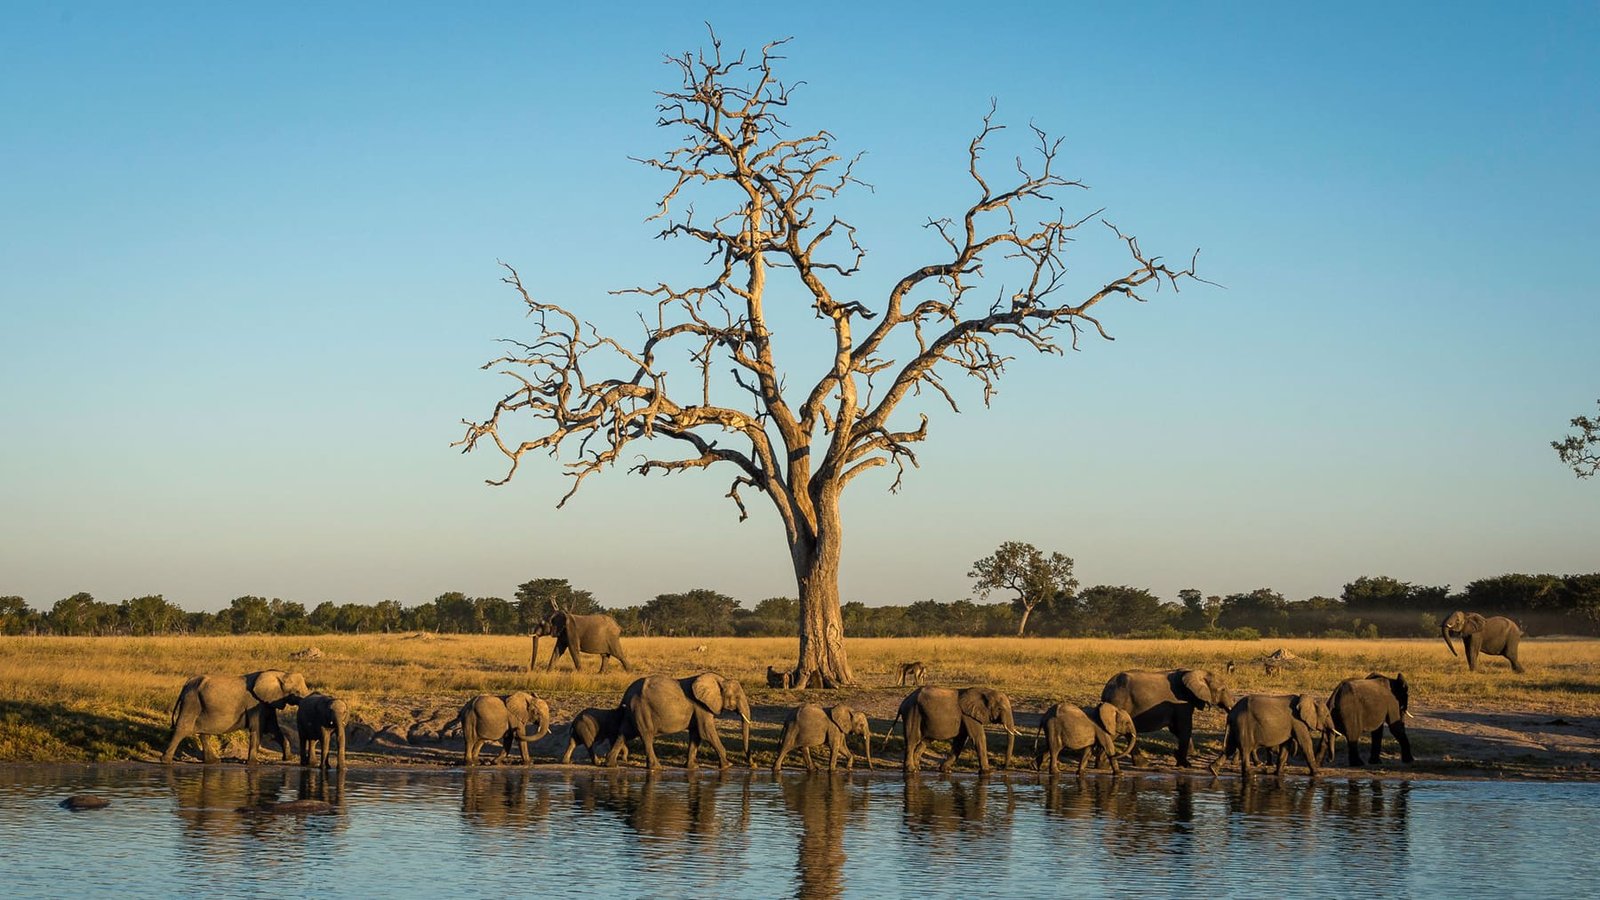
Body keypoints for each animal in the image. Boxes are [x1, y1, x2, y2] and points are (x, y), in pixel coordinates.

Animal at [162, 670, 310, 764]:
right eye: (296, 692)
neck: (280, 674)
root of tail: (186, 684)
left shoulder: (267, 703)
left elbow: (274, 729)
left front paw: (288, 758)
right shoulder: (255, 703)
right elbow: (257, 729)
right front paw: (253, 763)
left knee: (204, 732)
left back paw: (213, 761)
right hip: (191, 701)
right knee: (183, 728)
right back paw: (166, 761)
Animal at [605, 673, 751, 770]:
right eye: (737, 697)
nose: (752, 764)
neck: (721, 680)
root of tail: (626, 695)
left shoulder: (699, 708)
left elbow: (696, 735)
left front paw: (692, 767)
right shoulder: (701, 706)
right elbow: (706, 733)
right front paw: (727, 766)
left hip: (632, 712)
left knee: (624, 734)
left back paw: (610, 764)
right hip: (641, 709)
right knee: (646, 735)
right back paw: (656, 768)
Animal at [1099, 668, 1235, 768]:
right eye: (1223, 689)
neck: (1196, 672)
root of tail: (1106, 690)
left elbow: (1177, 730)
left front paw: (1186, 754)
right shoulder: (1182, 702)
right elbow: (1184, 728)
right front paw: (1185, 764)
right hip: (1120, 703)